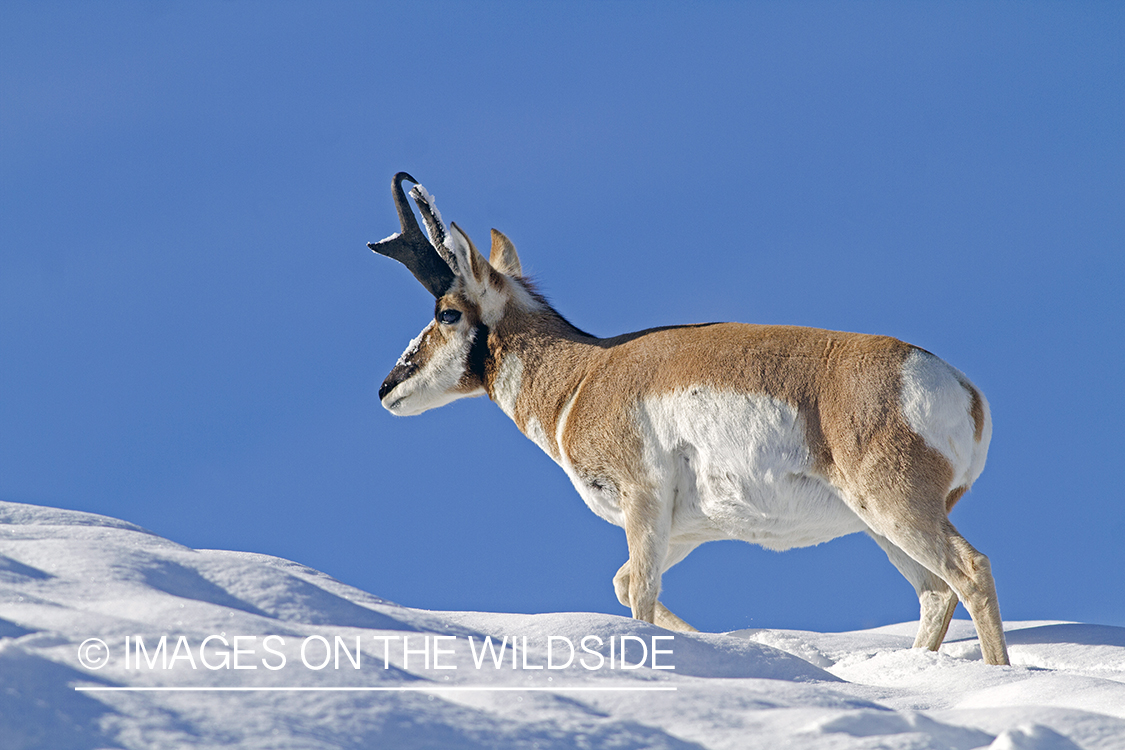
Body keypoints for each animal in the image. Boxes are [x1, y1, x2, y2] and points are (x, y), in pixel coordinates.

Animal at [371, 173, 1012, 665]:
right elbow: (626, 584)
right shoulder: (683, 529)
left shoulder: (642, 503)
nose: (386, 388)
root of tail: (962, 387)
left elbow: (640, 594)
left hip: (896, 507)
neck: (584, 375)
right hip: (878, 524)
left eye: (447, 313)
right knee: (936, 593)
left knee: (971, 570)